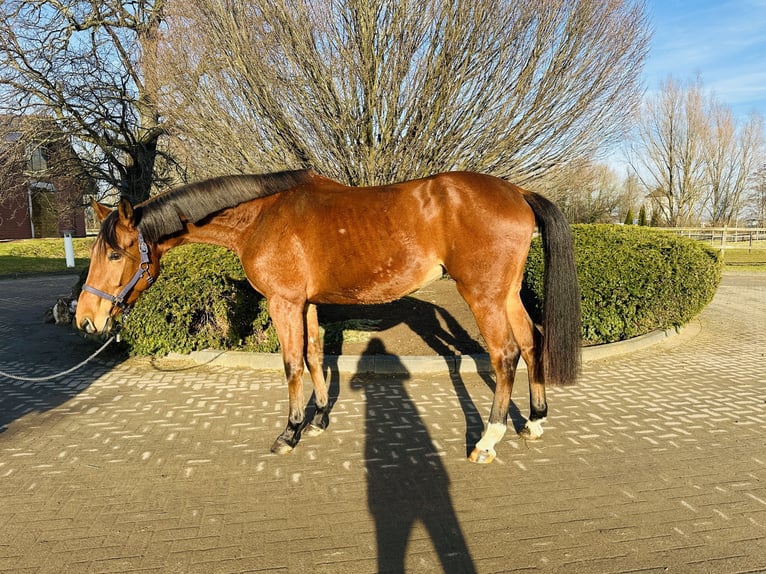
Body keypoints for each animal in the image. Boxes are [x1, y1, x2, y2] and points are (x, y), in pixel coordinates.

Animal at [78, 169, 584, 466]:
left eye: (115, 252)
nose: (86, 318)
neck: (262, 217)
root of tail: (517, 191)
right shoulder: (306, 304)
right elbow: (315, 356)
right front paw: (318, 418)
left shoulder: (283, 303)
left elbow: (290, 365)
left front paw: (289, 432)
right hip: (507, 294)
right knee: (533, 342)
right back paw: (533, 421)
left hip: (483, 295)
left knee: (505, 355)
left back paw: (487, 440)